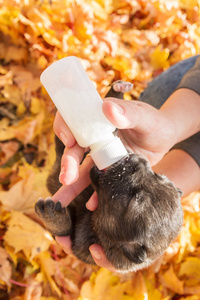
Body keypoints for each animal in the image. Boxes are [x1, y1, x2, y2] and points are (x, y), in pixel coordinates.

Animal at [34, 81, 183, 272]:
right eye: (157, 175)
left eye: (133, 199)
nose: (135, 160)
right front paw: (116, 92)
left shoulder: (78, 245)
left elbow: (62, 230)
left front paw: (52, 216)